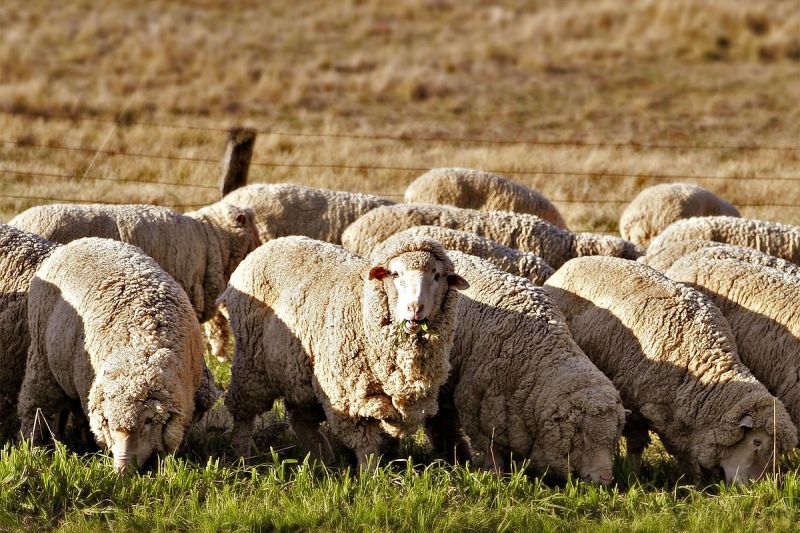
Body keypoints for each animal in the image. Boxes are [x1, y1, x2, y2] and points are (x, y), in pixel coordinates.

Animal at [18, 238, 208, 472]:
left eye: (148, 421)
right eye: (108, 421)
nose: (121, 470)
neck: (141, 346)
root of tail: (79, 241)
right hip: (41, 358)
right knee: (36, 405)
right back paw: (32, 446)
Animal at [221, 235, 468, 469]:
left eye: (437, 276)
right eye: (396, 274)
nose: (415, 309)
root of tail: (267, 245)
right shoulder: (348, 396)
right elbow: (366, 446)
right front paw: (370, 477)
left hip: (298, 372)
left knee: (300, 417)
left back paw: (321, 459)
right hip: (250, 362)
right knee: (244, 414)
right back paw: (242, 457)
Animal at [370, 241, 625, 484]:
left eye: (613, 438)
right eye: (581, 435)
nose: (605, 479)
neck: (537, 354)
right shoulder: (476, 407)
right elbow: (489, 450)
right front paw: (493, 476)